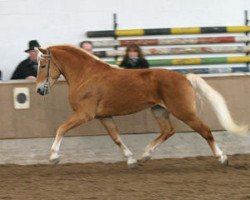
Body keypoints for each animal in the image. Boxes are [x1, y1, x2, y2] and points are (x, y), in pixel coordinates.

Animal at [35, 44, 248, 168]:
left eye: (43, 65)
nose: (39, 90)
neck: (86, 75)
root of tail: (184, 77)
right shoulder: (104, 116)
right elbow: (116, 138)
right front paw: (131, 160)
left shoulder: (84, 114)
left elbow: (61, 128)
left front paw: (53, 157)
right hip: (159, 110)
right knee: (168, 131)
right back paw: (145, 155)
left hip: (184, 112)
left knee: (205, 130)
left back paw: (222, 158)